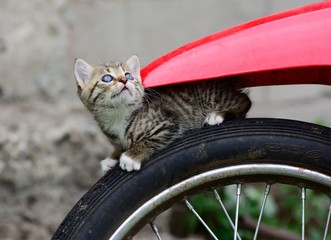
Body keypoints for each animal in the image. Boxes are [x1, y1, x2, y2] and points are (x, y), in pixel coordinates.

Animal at [74, 55, 252, 172]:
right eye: (107, 78)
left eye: (129, 75)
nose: (124, 81)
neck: (118, 114)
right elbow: (120, 145)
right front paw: (112, 157)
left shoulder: (167, 122)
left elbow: (149, 139)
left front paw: (131, 156)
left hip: (211, 95)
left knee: (244, 100)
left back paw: (218, 114)